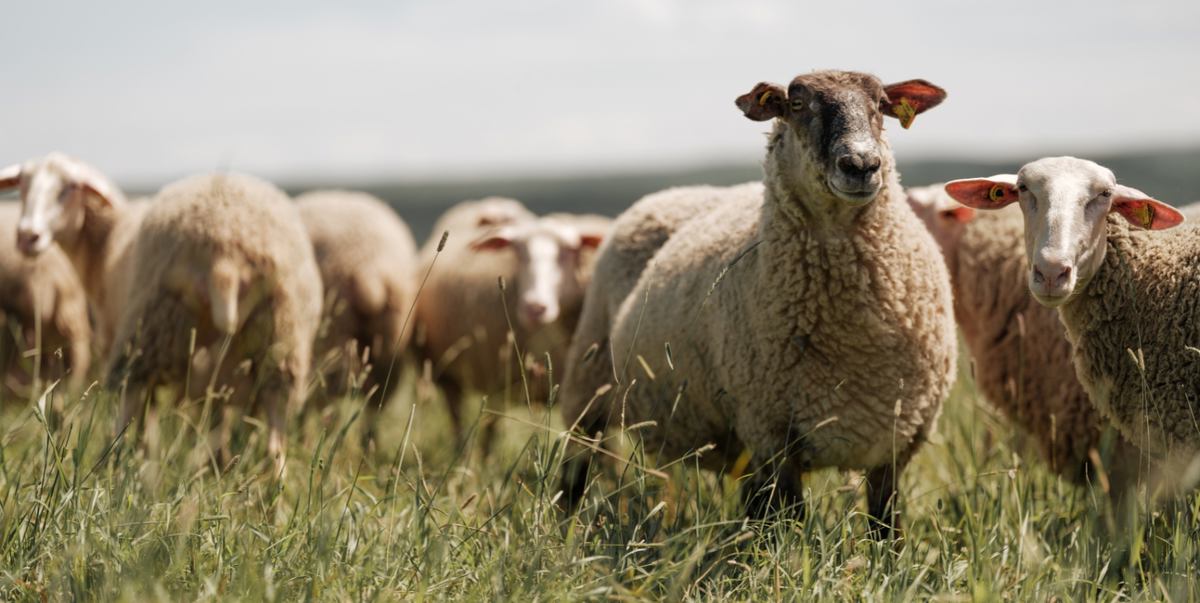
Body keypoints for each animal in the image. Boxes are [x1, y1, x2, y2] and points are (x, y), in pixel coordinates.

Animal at [414, 199, 605, 453]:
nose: (535, 307)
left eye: (569, 251)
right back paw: (463, 453)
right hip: (447, 370)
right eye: (518, 252)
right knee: (461, 416)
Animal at [559, 70, 956, 536]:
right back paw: (564, 524)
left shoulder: (897, 442)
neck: (857, 340)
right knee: (575, 465)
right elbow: (790, 523)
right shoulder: (770, 430)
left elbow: (885, 528)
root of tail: (674, 191)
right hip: (589, 381)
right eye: (797, 104)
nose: (861, 165)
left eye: (880, 104)